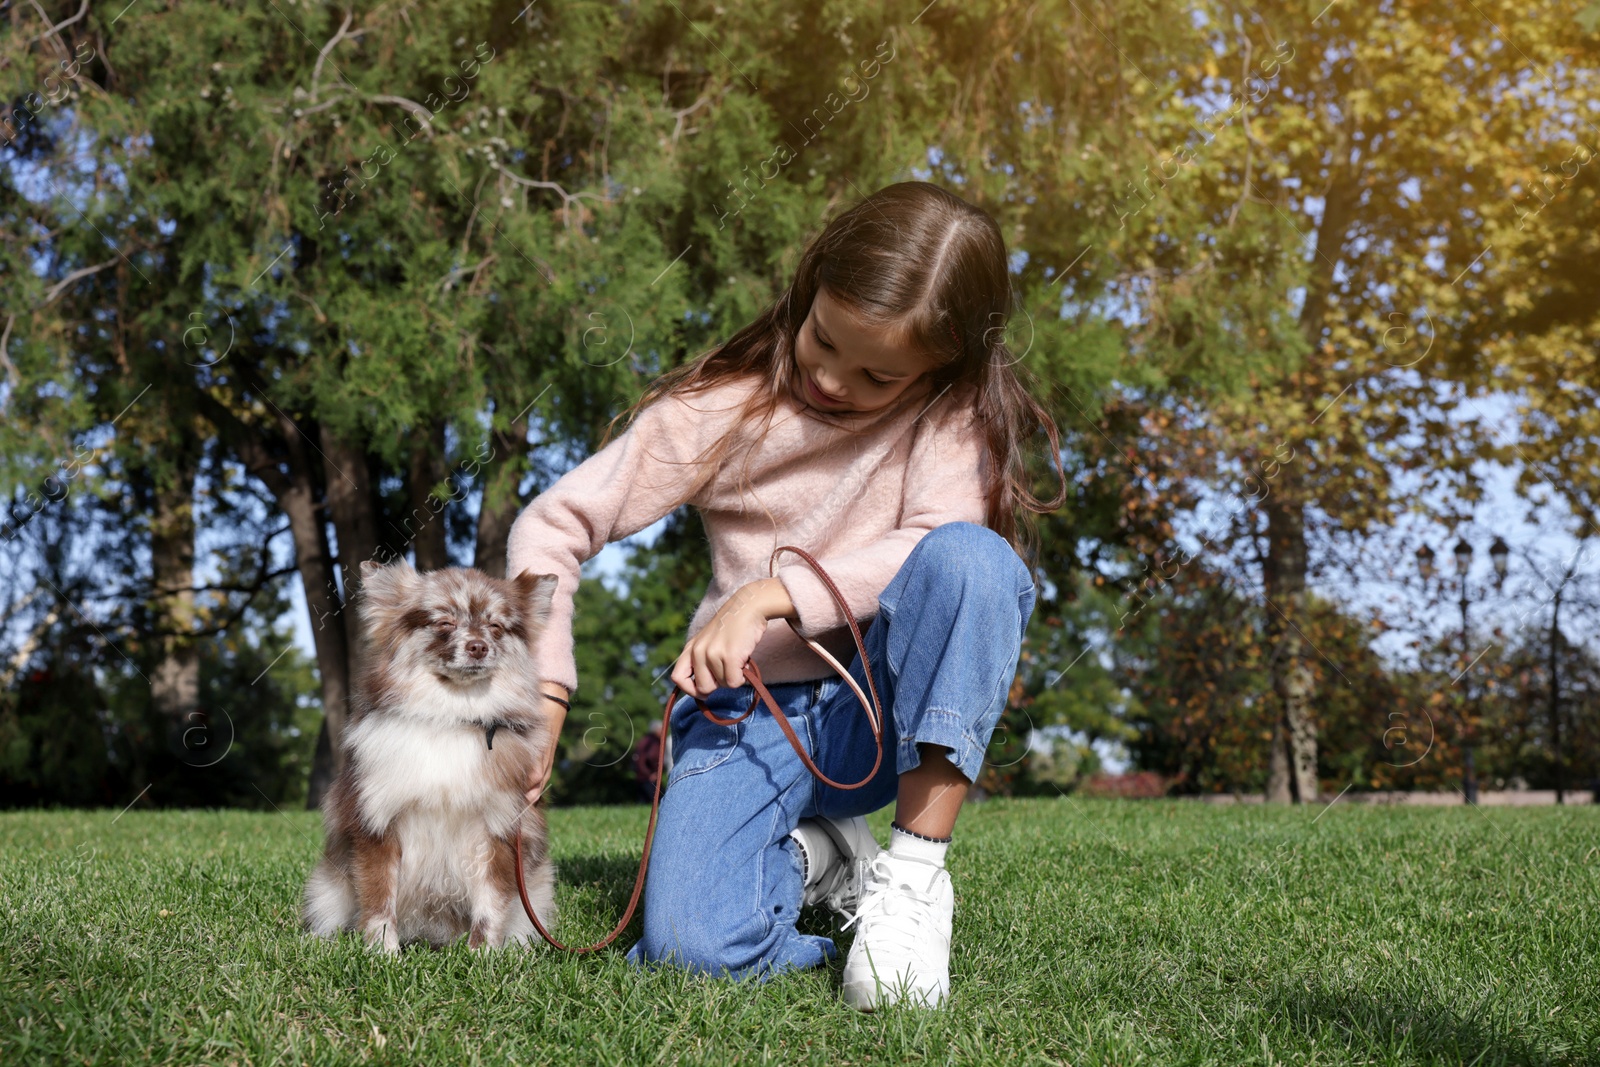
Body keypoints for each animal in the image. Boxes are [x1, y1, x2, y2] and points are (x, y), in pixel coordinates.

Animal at [300, 559, 563, 953]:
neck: (451, 717)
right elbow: (379, 899)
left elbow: (491, 902)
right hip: (327, 887)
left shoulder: (500, 826)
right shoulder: (377, 823)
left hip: (537, 887)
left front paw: (483, 955)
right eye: (444, 623)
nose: (478, 646)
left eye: (496, 627)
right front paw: (383, 954)